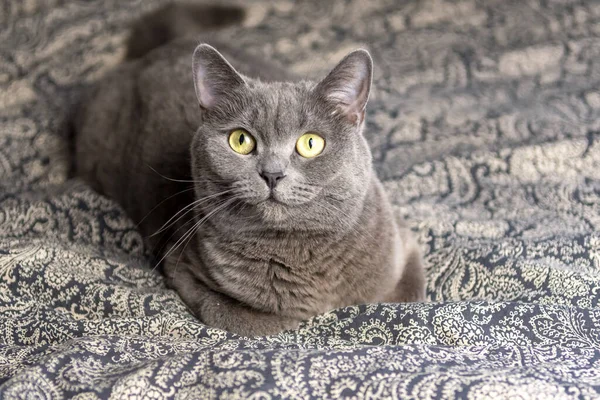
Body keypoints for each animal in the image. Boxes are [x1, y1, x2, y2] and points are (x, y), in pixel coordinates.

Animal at [74, 3, 426, 336]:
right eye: (240, 140)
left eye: (311, 143)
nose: (272, 173)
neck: (298, 251)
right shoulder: (181, 266)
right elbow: (255, 318)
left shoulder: (405, 243)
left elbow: (408, 298)